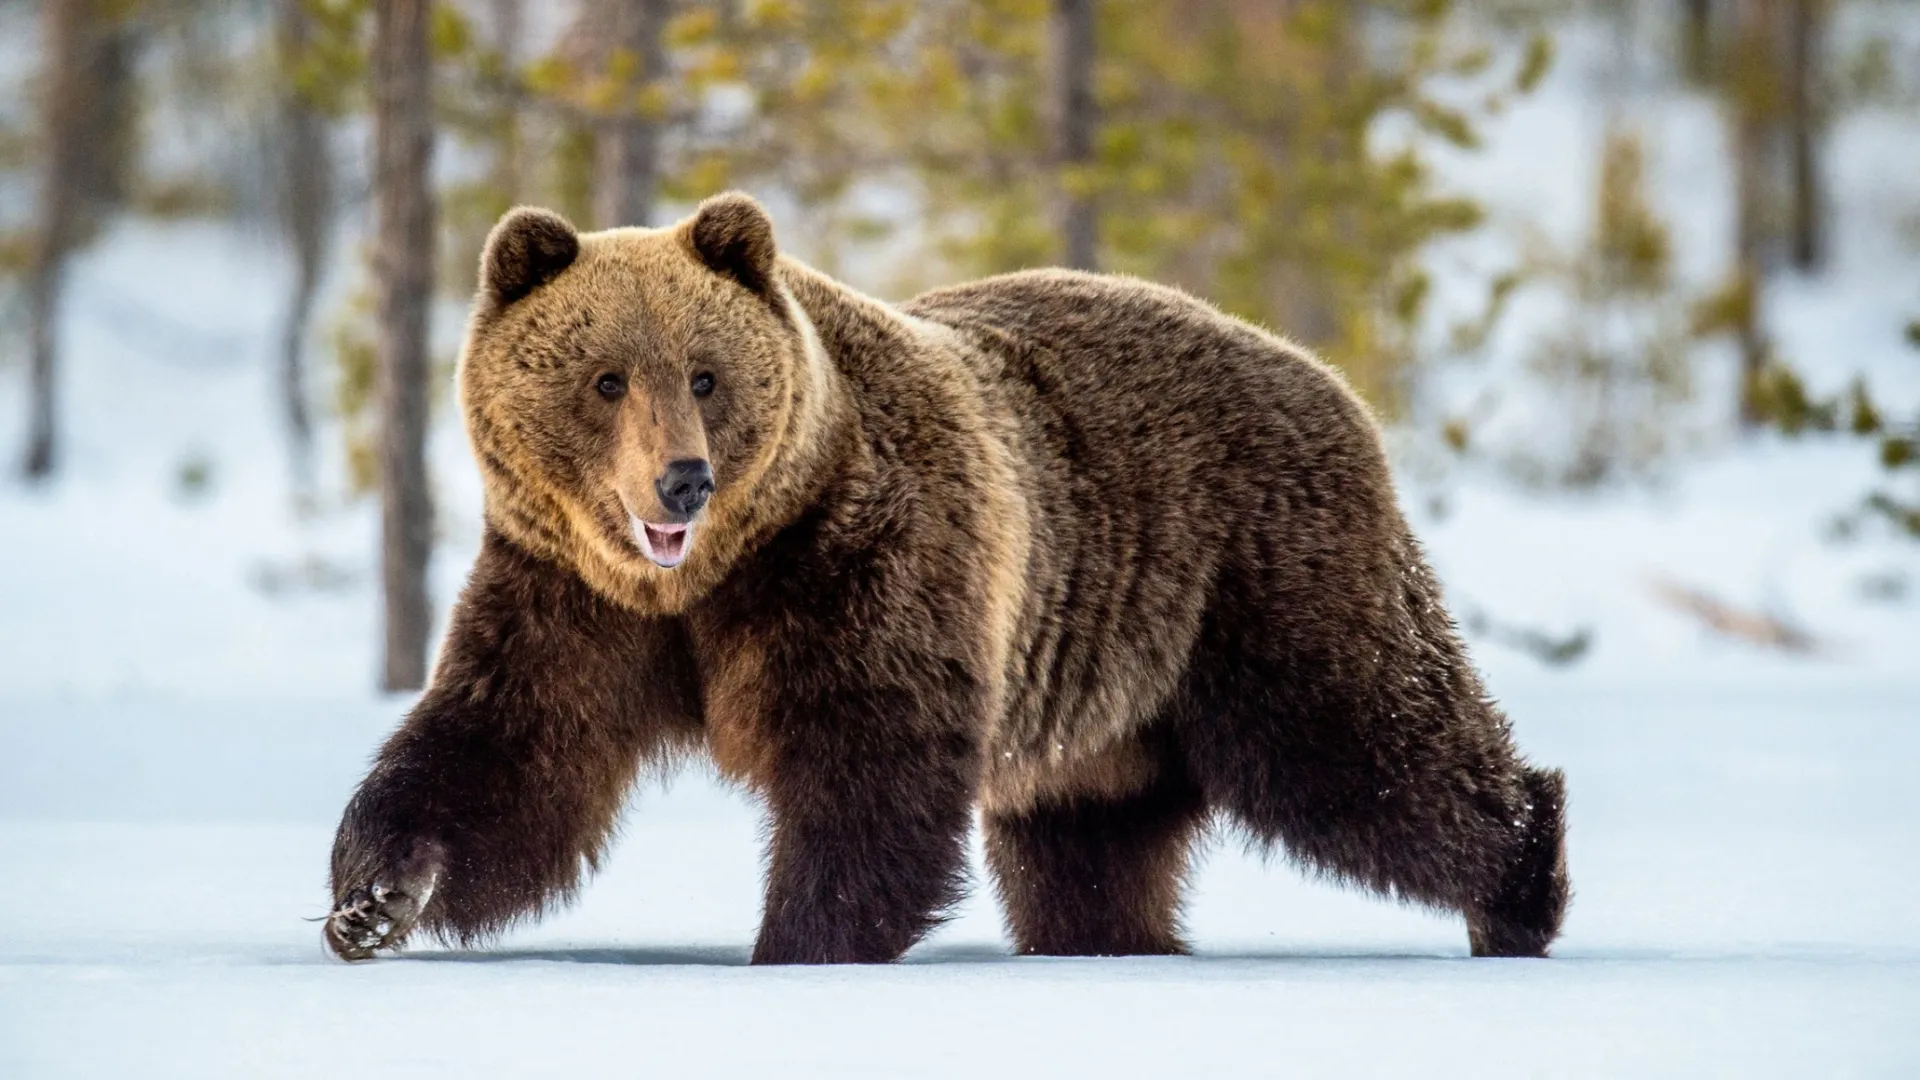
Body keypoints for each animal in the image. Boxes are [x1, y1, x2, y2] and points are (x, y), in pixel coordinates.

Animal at [322, 189, 1566, 960]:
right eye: (606, 378)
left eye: (707, 374)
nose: (681, 481)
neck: (708, 578)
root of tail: (1325, 374)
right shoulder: (568, 591)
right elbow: (507, 755)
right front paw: (372, 900)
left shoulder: (862, 556)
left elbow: (869, 763)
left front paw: (797, 942)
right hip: (1110, 701)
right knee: (1091, 844)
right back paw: (1116, 940)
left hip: (1254, 579)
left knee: (1364, 746)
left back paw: (1519, 880)